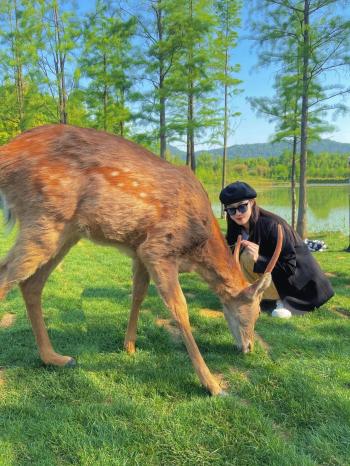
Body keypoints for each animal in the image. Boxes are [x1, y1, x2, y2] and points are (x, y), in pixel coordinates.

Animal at [0, 125, 282, 396]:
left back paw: (56, 358)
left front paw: (129, 346)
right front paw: (212, 384)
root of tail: (7, 154)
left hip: (67, 231)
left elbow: (138, 294)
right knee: (7, 276)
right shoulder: (158, 247)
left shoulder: (139, 251)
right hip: (44, 217)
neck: (196, 250)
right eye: (256, 311)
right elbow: (179, 308)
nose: (249, 347)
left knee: (31, 284)